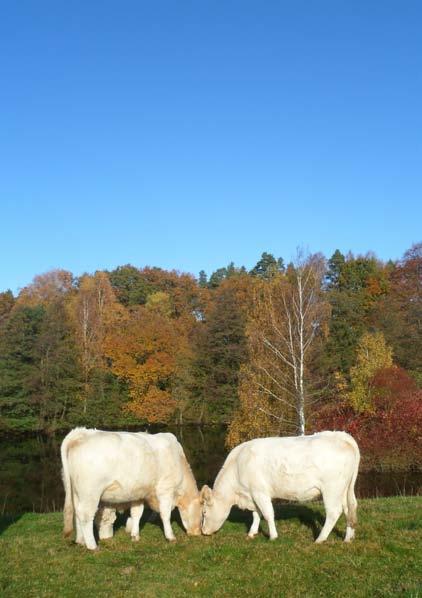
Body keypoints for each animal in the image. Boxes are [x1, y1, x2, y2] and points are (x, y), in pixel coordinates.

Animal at [60, 426, 203, 552]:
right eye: (202, 514)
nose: (197, 533)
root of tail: (81, 433)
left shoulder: (138, 494)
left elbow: (136, 514)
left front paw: (135, 536)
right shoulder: (166, 489)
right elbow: (165, 514)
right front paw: (171, 537)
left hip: (76, 492)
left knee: (77, 513)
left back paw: (81, 541)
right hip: (90, 493)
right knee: (85, 515)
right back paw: (92, 546)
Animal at [201, 434, 360, 548]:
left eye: (204, 512)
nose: (203, 531)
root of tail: (341, 436)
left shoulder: (260, 492)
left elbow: (267, 514)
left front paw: (273, 536)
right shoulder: (253, 494)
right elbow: (256, 514)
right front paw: (252, 533)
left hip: (331, 489)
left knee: (334, 512)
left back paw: (320, 539)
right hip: (344, 489)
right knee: (349, 508)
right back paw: (348, 538)